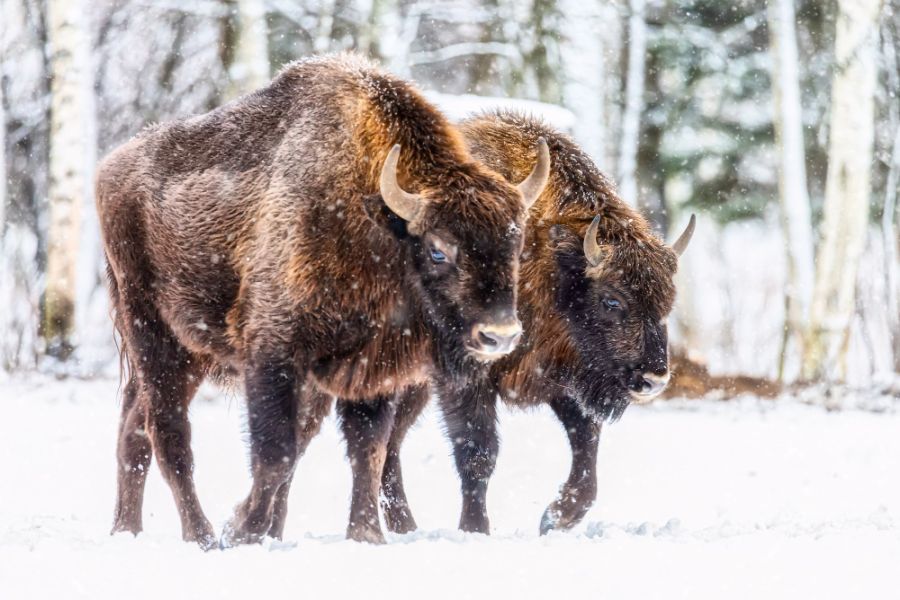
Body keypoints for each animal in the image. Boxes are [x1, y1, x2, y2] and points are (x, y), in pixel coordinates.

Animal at [96, 55, 548, 548]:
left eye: (516, 245)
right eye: (438, 249)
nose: (499, 335)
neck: (377, 220)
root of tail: (109, 168)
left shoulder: (372, 368)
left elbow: (367, 449)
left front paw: (366, 534)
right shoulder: (273, 354)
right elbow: (277, 452)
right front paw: (242, 530)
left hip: (191, 353)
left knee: (133, 428)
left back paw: (126, 528)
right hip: (154, 336)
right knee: (169, 434)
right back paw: (202, 535)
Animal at [276, 111, 696, 540]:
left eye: (666, 303)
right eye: (612, 300)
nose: (654, 379)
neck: (554, 260)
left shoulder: (561, 378)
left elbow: (586, 449)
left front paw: (555, 518)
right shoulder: (469, 380)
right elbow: (478, 450)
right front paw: (475, 529)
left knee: (389, 444)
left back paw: (406, 526)